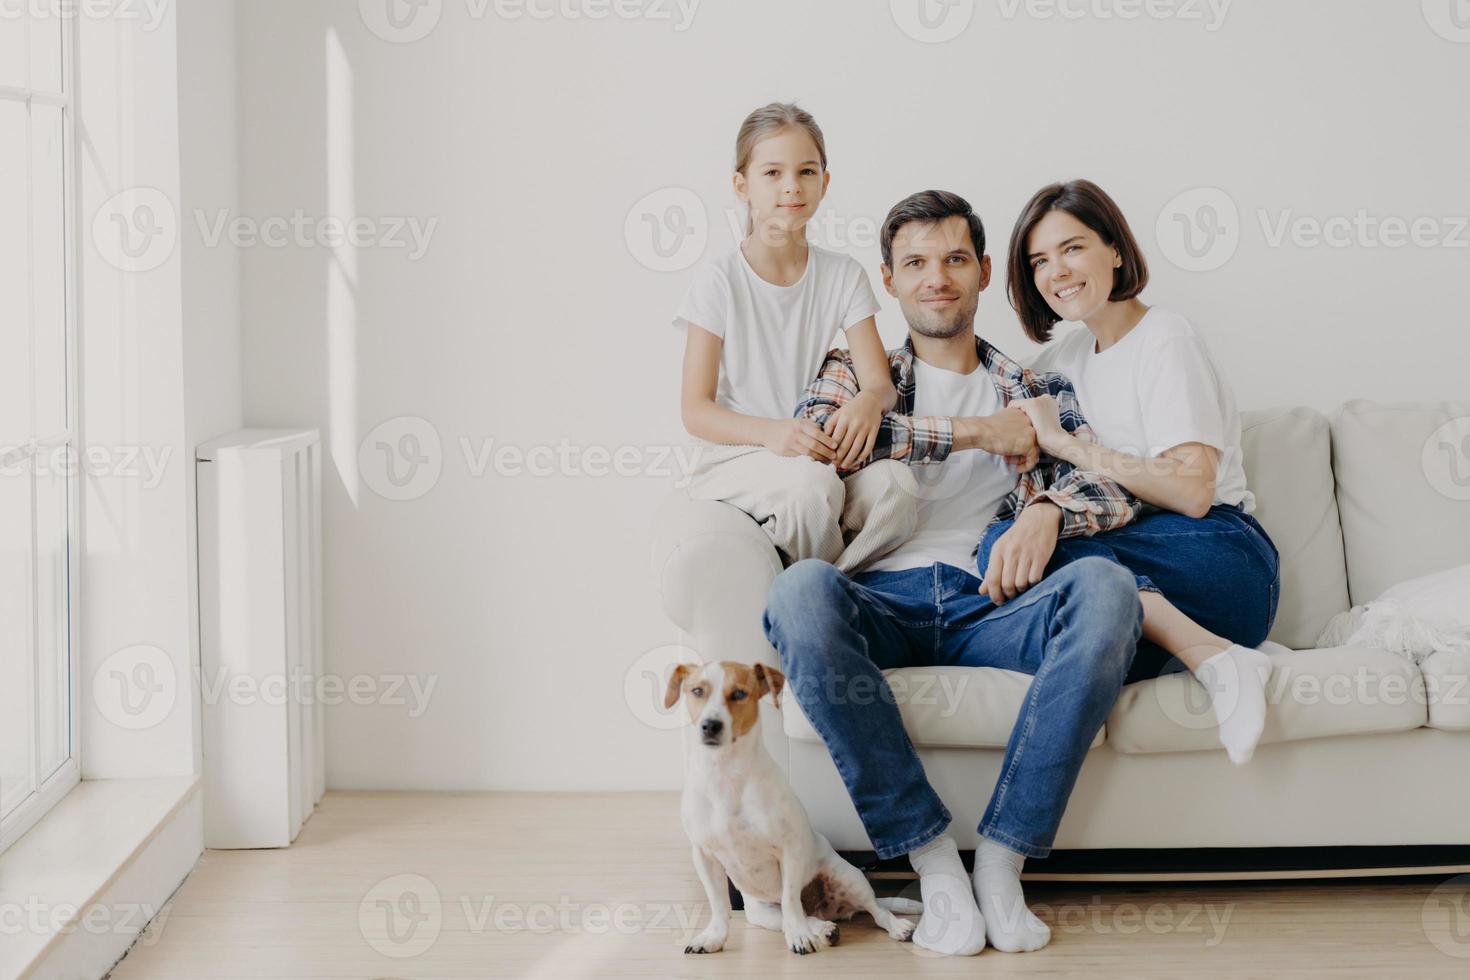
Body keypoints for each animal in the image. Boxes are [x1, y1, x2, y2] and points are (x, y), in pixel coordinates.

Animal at [667, 655, 917, 952]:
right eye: (697, 691)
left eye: (739, 693)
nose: (710, 726)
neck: (726, 774)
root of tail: (830, 909)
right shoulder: (704, 855)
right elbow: (718, 904)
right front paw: (713, 937)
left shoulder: (789, 848)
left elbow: (789, 898)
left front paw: (799, 937)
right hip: (763, 913)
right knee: (802, 916)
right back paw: (824, 929)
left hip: (849, 877)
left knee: (874, 910)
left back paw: (894, 926)